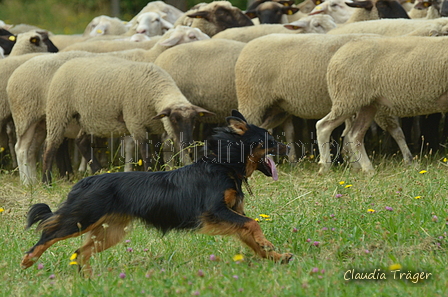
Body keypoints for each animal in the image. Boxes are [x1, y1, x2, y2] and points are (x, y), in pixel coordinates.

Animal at [41, 54, 213, 182]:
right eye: (175, 120)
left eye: (194, 120)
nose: (189, 144)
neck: (155, 90)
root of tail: (66, 64)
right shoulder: (135, 123)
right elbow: (146, 153)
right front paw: (150, 172)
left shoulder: (157, 127)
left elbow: (161, 151)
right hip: (58, 110)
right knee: (51, 144)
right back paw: (46, 181)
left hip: (87, 118)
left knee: (80, 141)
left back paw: (99, 170)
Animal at [236, 34, 412, 164]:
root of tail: (247, 47)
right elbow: (395, 130)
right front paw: (408, 160)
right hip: (252, 101)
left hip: (277, 108)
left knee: (262, 129)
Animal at [316, 35, 448, 173]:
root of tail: (339, 53)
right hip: (348, 98)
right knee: (323, 126)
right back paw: (325, 167)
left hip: (367, 104)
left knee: (355, 134)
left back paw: (368, 169)